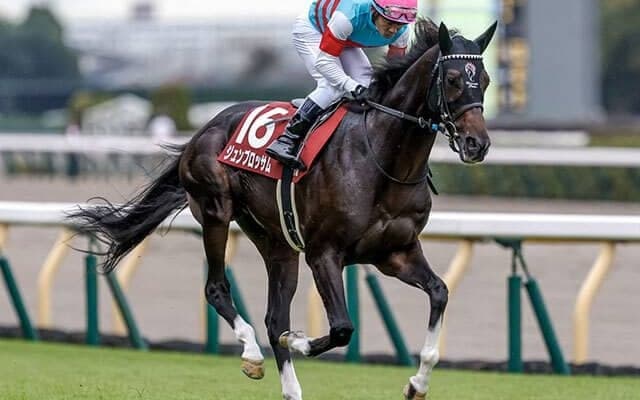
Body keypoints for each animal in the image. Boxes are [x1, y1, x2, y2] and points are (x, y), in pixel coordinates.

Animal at [69, 19, 496, 400]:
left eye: (487, 80)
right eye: (453, 79)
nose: (477, 144)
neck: (383, 159)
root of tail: (202, 130)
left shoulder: (396, 252)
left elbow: (439, 293)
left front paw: (417, 384)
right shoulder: (324, 253)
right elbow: (341, 328)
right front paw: (300, 341)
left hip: (278, 242)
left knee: (274, 316)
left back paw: (290, 388)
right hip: (216, 211)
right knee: (218, 289)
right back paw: (251, 352)